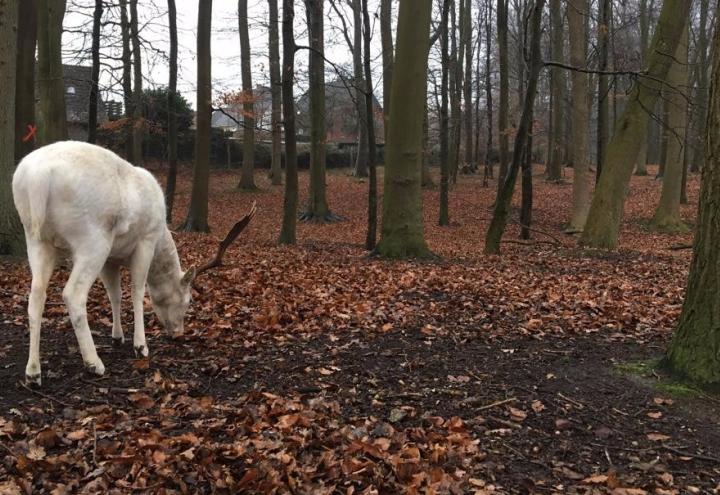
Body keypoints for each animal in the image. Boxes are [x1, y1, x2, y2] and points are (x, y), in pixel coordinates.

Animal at [11, 141, 256, 386]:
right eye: (189, 300)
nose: (178, 333)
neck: (161, 237)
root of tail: (38, 177)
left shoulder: (111, 259)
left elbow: (115, 294)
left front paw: (117, 336)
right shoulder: (145, 241)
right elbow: (138, 290)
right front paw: (140, 346)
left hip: (36, 240)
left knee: (36, 295)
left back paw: (33, 372)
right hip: (92, 239)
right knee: (73, 294)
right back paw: (94, 363)